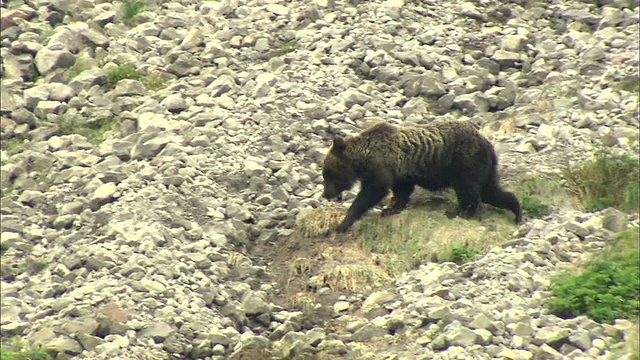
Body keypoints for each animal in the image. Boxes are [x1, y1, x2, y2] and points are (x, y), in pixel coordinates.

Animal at [322, 121, 524, 233]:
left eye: (328, 174)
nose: (325, 194)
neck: (363, 157)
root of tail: (487, 143)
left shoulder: (381, 167)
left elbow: (372, 192)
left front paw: (342, 224)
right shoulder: (401, 173)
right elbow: (402, 191)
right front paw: (391, 208)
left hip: (464, 162)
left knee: (469, 190)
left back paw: (461, 212)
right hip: (483, 168)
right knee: (491, 191)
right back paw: (516, 211)